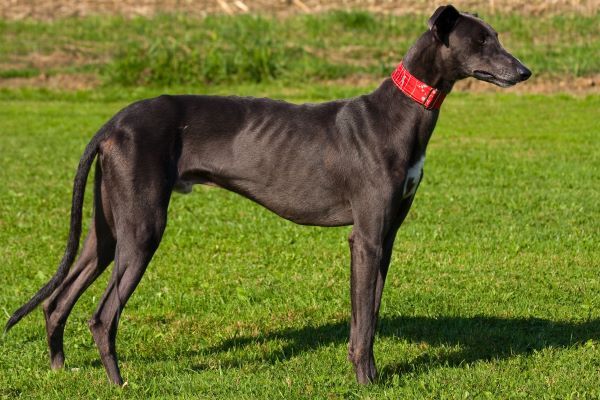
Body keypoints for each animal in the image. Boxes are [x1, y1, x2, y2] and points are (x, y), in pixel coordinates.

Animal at [4, 5, 528, 384]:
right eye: (482, 41)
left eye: (497, 36)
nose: (524, 72)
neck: (399, 114)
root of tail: (115, 122)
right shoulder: (365, 238)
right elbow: (362, 322)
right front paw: (366, 382)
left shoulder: (387, 238)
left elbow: (371, 314)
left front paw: (375, 377)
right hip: (142, 230)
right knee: (101, 315)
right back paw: (118, 383)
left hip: (107, 231)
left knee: (58, 301)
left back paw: (60, 370)